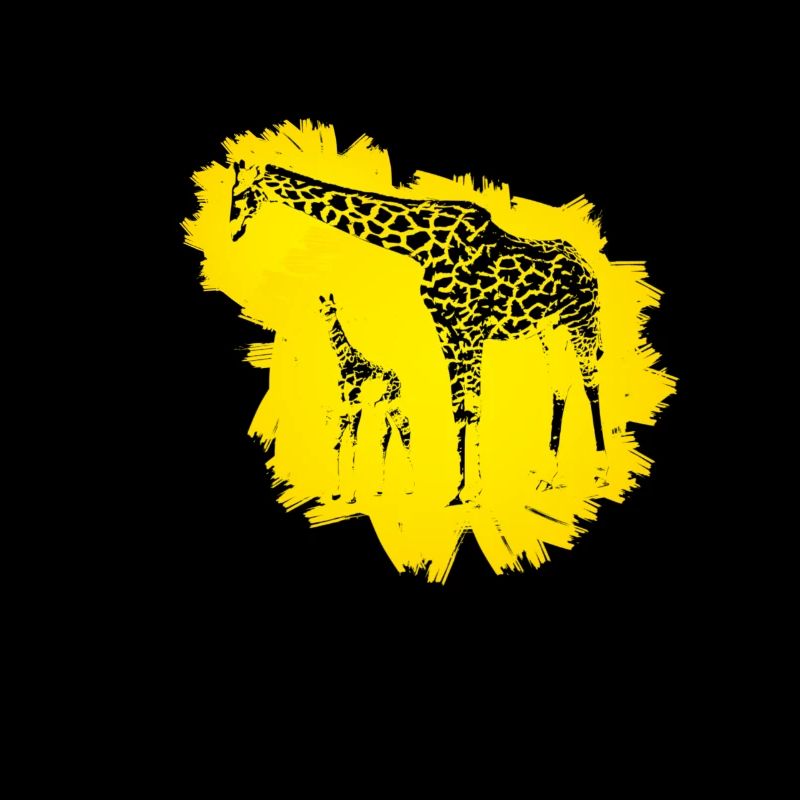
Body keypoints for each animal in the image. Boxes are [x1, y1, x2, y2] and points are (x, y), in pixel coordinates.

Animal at [319, 293, 413, 503]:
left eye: (333, 308)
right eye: (322, 309)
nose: (328, 318)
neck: (343, 362)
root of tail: (400, 380)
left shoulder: (355, 404)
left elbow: (353, 441)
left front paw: (351, 495)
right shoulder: (343, 405)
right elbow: (336, 442)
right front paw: (336, 492)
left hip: (387, 404)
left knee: (399, 428)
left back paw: (409, 486)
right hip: (384, 406)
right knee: (390, 430)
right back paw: (381, 488)